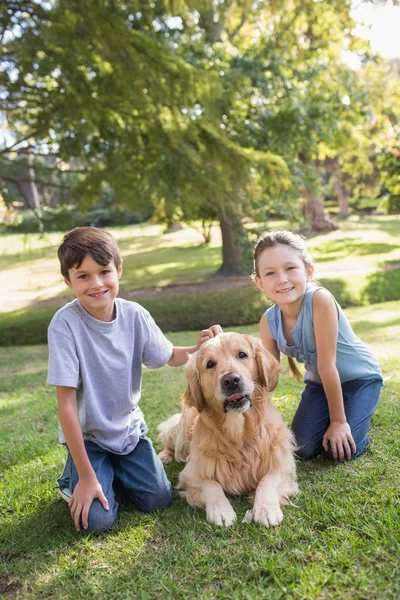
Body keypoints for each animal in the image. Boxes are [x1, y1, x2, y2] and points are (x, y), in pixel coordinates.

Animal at [158, 336, 298, 528]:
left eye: (242, 354)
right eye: (210, 364)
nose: (231, 380)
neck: (239, 434)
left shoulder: (284, 467)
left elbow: (267, 480)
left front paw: (266, 508)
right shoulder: (189, 475)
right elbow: (211, 484)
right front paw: (221, 510)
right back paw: (164, 455)